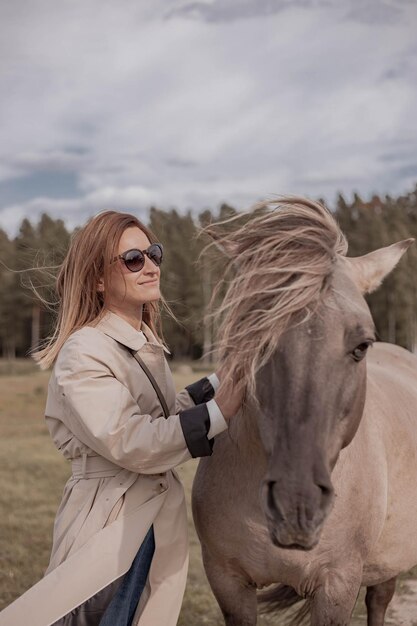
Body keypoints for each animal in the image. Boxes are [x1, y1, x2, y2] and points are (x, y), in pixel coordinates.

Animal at [193, 196, 416, 624]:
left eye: (362, 346)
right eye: (252, 339)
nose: (297, 505)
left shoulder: (338, 585)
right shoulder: (227, 582)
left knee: (379, 600)